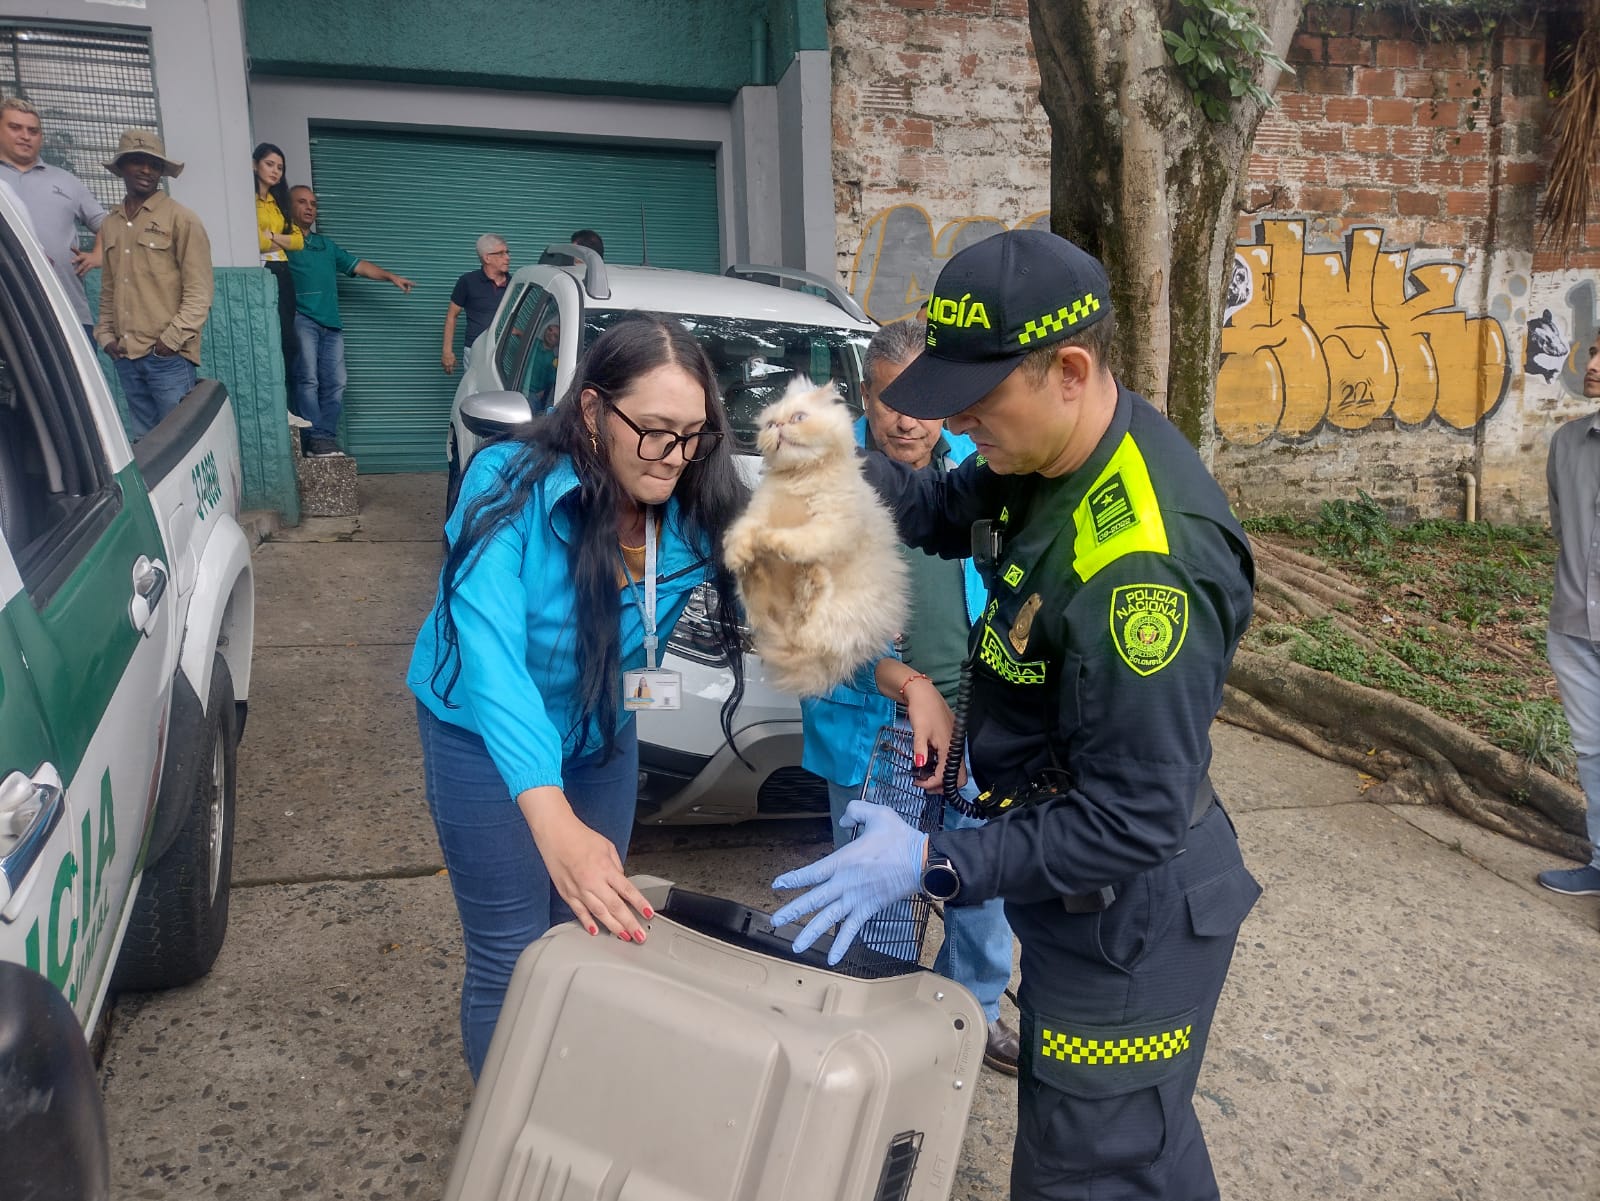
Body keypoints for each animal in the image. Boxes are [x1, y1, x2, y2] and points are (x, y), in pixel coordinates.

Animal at [723, 380, 908, 700]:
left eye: (798, 418)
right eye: (770, 424)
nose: (779, 427)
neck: (800, 478)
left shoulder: (831, 524)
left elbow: (798, 539)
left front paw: (769, 540)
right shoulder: (757, 511)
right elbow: (742, 530)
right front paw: (739, 552)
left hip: (842, 615)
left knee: (806, 624)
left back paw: (811, 577)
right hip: (764, 608)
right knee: (767, 606)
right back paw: (754, 569)